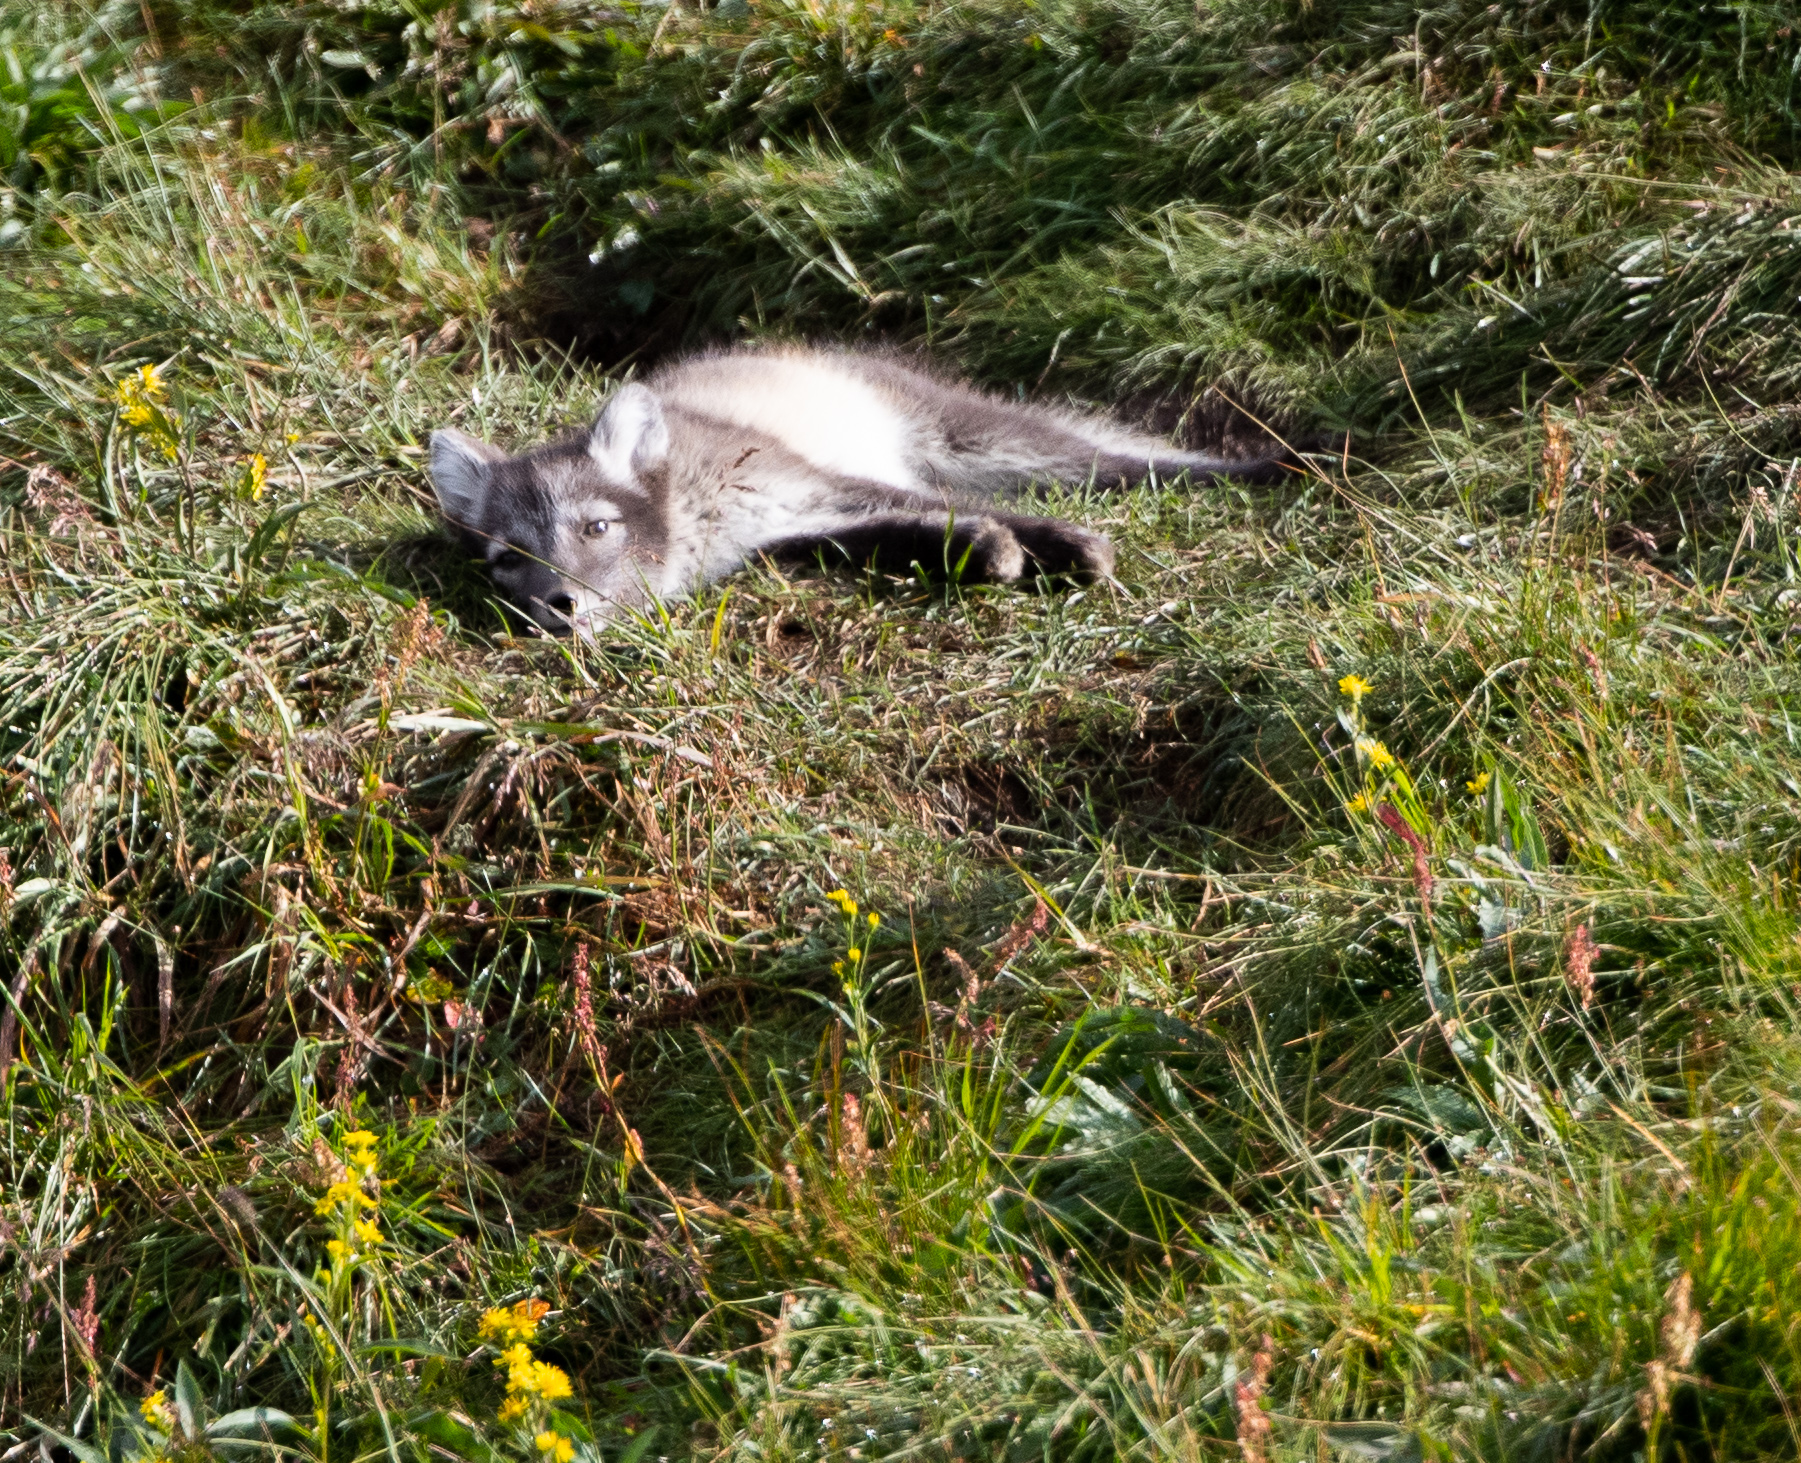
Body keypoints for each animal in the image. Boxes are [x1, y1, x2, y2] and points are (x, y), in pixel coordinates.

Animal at [428, 351, 1289, 637]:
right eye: (506, 558)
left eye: (597, 527)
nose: (557, 608)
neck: (705, 520)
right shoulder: (794, 525)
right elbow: (898, 529)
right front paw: (986, 553)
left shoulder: (808, 479)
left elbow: (951, 505)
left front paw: (1067, 544)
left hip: (974, 437)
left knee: (1117, 456)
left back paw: (1276, 464)